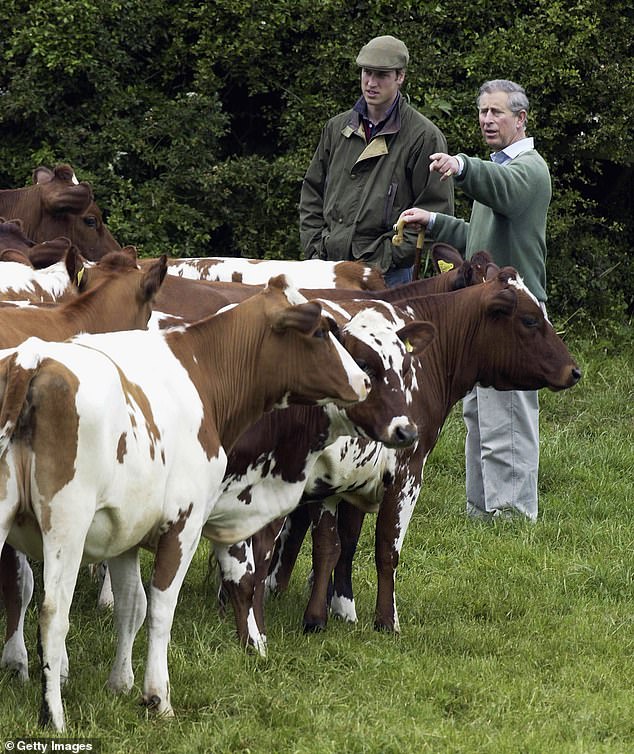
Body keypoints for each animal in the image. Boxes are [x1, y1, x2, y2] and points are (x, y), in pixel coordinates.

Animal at [0, 274, 366, 724]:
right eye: (319, 333)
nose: (364, 381)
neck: (202, 376)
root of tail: (32, 360)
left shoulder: (122, 531)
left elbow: (131, 605)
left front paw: (119, 684)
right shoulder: (184, 524)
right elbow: (160, 608)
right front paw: (157, 696)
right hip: (66, 525)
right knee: (53, 615)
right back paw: (54, 715)